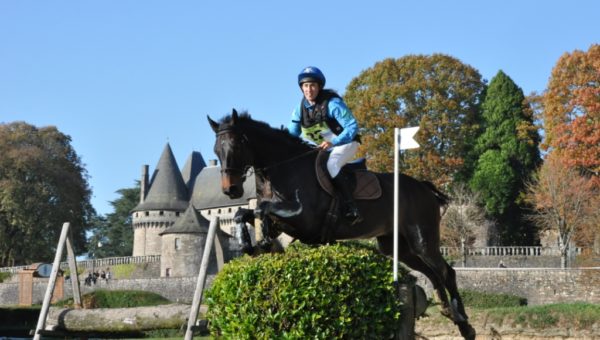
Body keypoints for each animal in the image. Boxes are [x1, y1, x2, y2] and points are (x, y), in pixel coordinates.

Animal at [209, 110, 476, 338]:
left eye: (235, 146)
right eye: (216, 150)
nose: (231, 190)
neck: (283, 168)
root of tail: (424, 187)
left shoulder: (303, 219)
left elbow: (261, 209)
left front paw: (260, 240)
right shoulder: (287, 224)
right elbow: (244, 213)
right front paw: (249, 243)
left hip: (422, 239)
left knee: (446, 271)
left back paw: (464, 324)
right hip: (397, 246)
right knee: (432, 273)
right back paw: (449, 312)